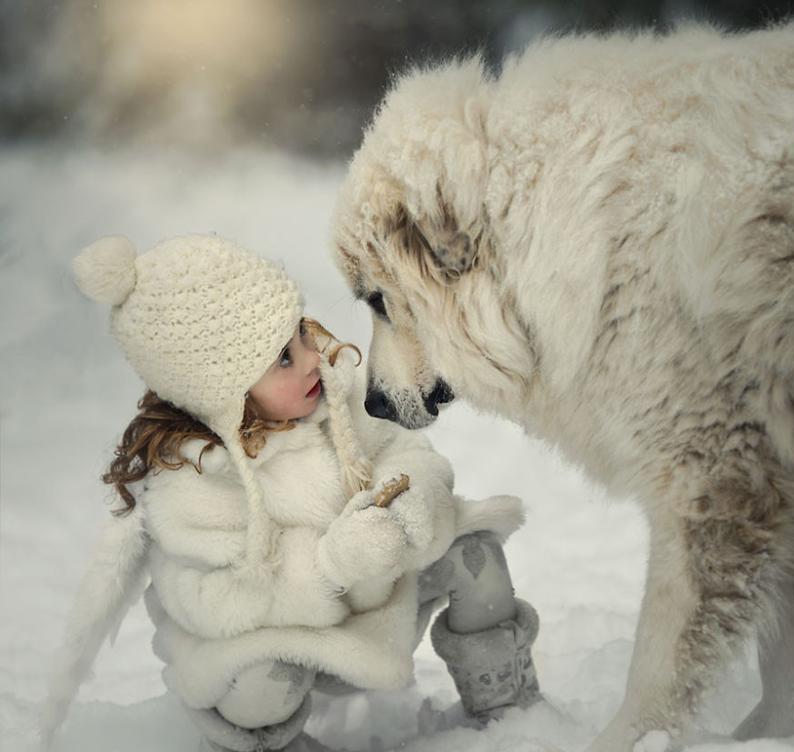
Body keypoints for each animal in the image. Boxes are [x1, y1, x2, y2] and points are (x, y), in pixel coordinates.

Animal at [330, 23, 792, 752]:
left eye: (378, 300)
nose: (372, 402)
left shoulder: (712, 482)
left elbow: (659, 665)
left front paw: (632, 740)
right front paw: (766, 732)